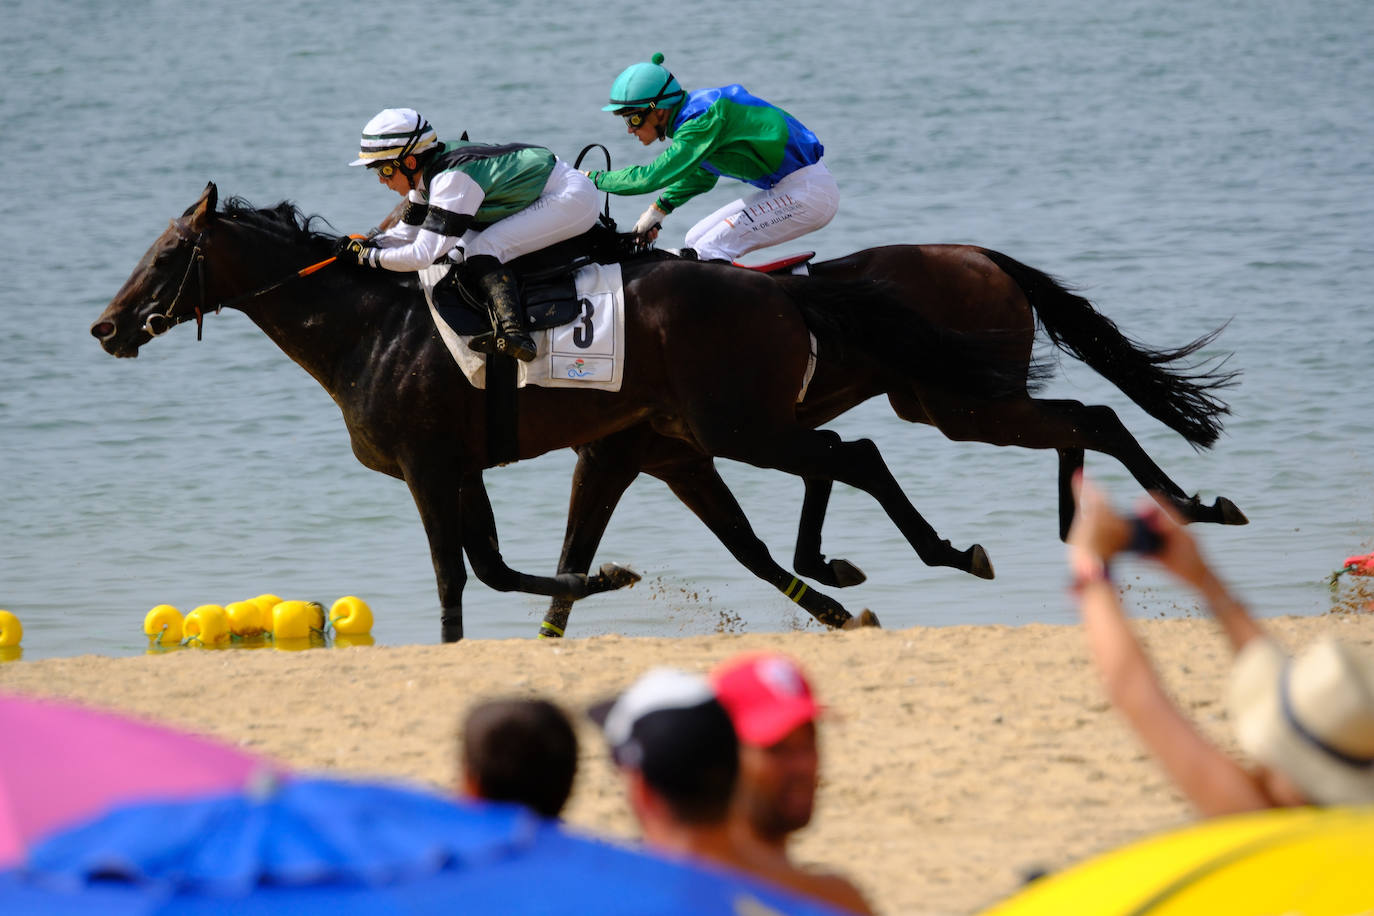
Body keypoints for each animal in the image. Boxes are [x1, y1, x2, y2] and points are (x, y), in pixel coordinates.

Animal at [85, 184, 1016, 645]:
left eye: (168, 254)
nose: (106, 327)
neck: (369, 331)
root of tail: (779, 290)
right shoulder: (470, 466)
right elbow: (501, 565)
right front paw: (605, 579)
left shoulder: (429, 468)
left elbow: (458, 573)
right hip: (726, 430)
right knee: (830, 462)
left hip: (737, 424)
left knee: (853, 453)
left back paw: (946, 554)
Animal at [535, 247, 1247, 642]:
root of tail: (981, 255)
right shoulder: (674, 457)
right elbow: (752, 545)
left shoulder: (626, 456)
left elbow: (580, 554)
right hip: (955, 403)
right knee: (1076, 419)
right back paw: (1095, 519)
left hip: (965, 405)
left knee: (1090, 417)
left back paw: (1186, 506)